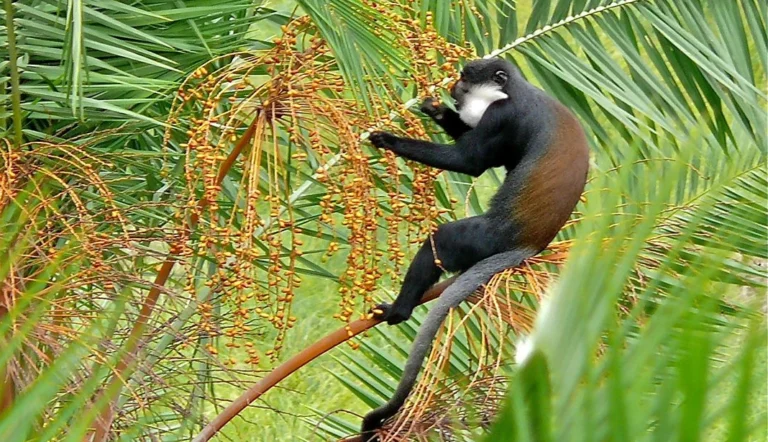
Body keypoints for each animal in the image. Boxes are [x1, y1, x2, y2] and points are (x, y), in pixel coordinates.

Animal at [359, 57, 589, 441]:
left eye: (466, 78)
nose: (454, 87)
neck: (513, 90)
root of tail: (529, 244)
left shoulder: (501, 116)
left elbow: (470, 163)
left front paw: (388, 139)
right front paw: (434, 109)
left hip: (484, 238)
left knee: (442, 239)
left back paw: (400, 310)